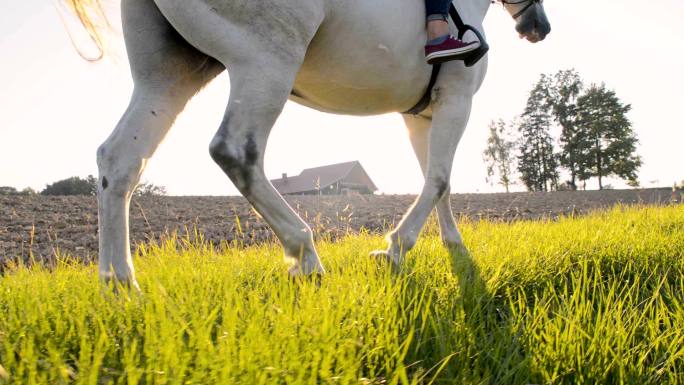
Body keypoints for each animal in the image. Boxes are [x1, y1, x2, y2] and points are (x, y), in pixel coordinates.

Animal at [71, 0, 552, 286]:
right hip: (266, 62)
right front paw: (395, 249)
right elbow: (437, 180)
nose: (539, 27)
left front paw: (454, 246)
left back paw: (120, 284)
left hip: (171, 75)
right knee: (235, 150)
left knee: (120, 159)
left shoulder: (422, 116)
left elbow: (440, 182)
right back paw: (306, 254)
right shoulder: (457, 102)